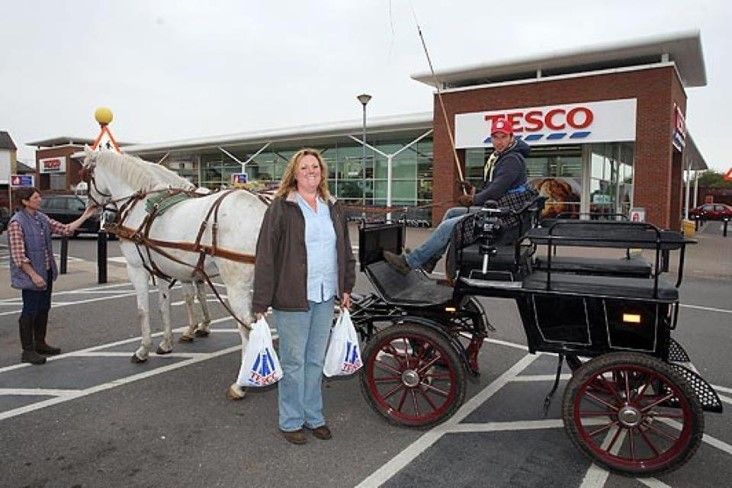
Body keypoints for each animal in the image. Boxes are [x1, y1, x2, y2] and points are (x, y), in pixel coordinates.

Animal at [83, 150, 266, 400]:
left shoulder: (136, 268)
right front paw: (167, 342)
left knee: (247, 326)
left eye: (87, 175)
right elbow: (165, 306)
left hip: (236, 283)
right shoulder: (163, 268)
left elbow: (143, 310)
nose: (100, 214)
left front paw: (143, 350)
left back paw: (241, 383)